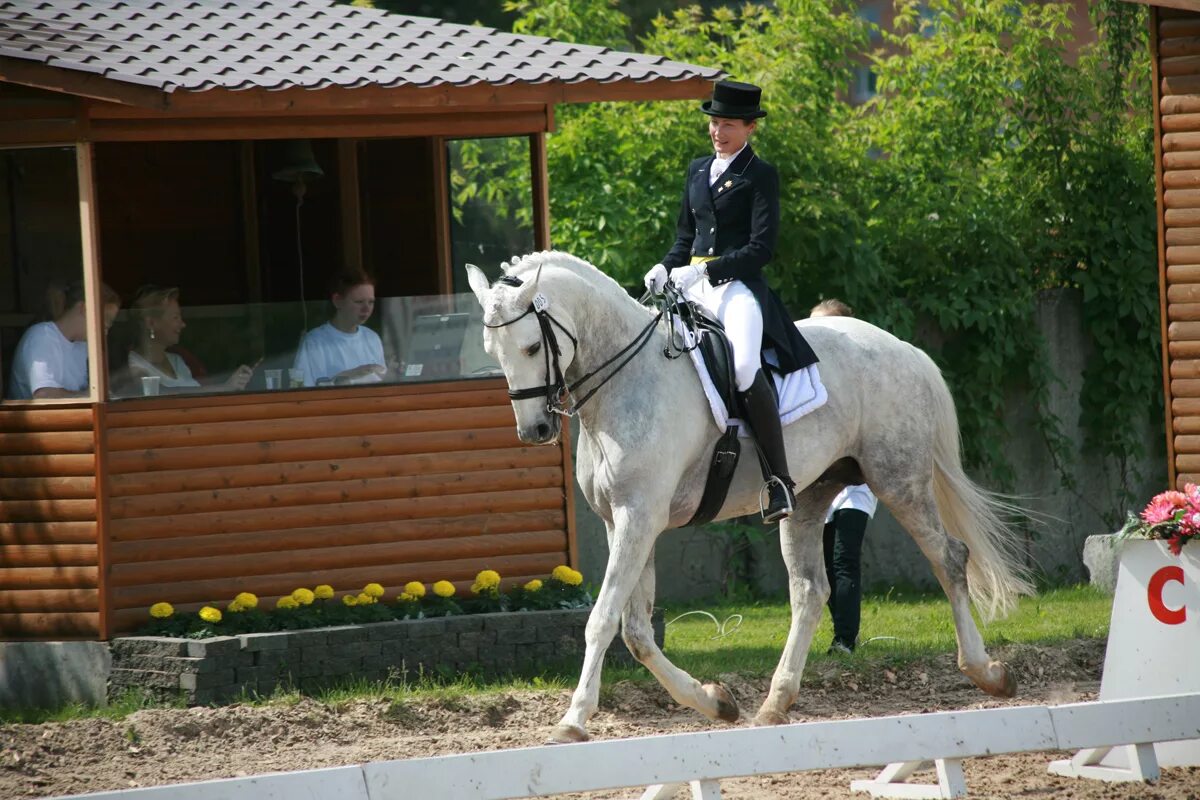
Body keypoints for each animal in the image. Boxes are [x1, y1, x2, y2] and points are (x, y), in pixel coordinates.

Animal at [465, 251, 1032, 743]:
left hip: (899, 480)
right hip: (809, 497)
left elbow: (603, 620)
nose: (535, 431)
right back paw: (774, 703)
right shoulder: (623, 521)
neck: (624, 380)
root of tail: (904, 349)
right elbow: (638, 633)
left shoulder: (639, 517)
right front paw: (716, 701)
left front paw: (574, 720)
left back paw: (987, 673)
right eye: (493, 354)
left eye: (531, 348)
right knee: (810, 591)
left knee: (949, 557)